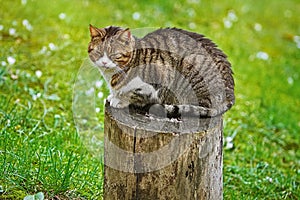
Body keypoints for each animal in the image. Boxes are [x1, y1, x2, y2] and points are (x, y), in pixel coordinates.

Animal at [88, 25, 236, 119]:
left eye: (115, 55)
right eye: (99, 53)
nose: (104, 62)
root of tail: (230, 94)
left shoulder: (156, 81)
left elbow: (133, 95)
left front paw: (120, 100)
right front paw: (114, 96)